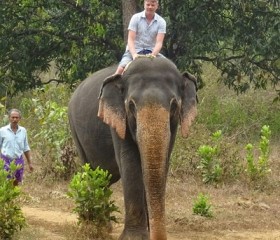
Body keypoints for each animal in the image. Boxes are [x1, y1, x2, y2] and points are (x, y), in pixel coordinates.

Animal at [68, 56, 198, 240]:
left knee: (105, 177)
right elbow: (130, 163)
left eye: (174, 105)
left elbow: (163, 163)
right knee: (92, 171)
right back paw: (95, 225)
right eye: (131, 105)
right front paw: (135, 237)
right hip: (74, 129)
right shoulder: (118, 120)